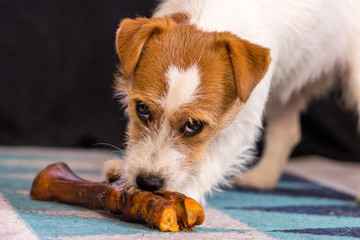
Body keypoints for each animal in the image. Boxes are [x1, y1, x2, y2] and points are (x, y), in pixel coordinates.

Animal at [103, 0, 360, 203]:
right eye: (143, 109)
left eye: (194, 126)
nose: (148, 182)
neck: (208, 16)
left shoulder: (240, 124)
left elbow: (211, 163)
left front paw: (184, 194)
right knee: (287, 132)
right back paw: (263, 178)